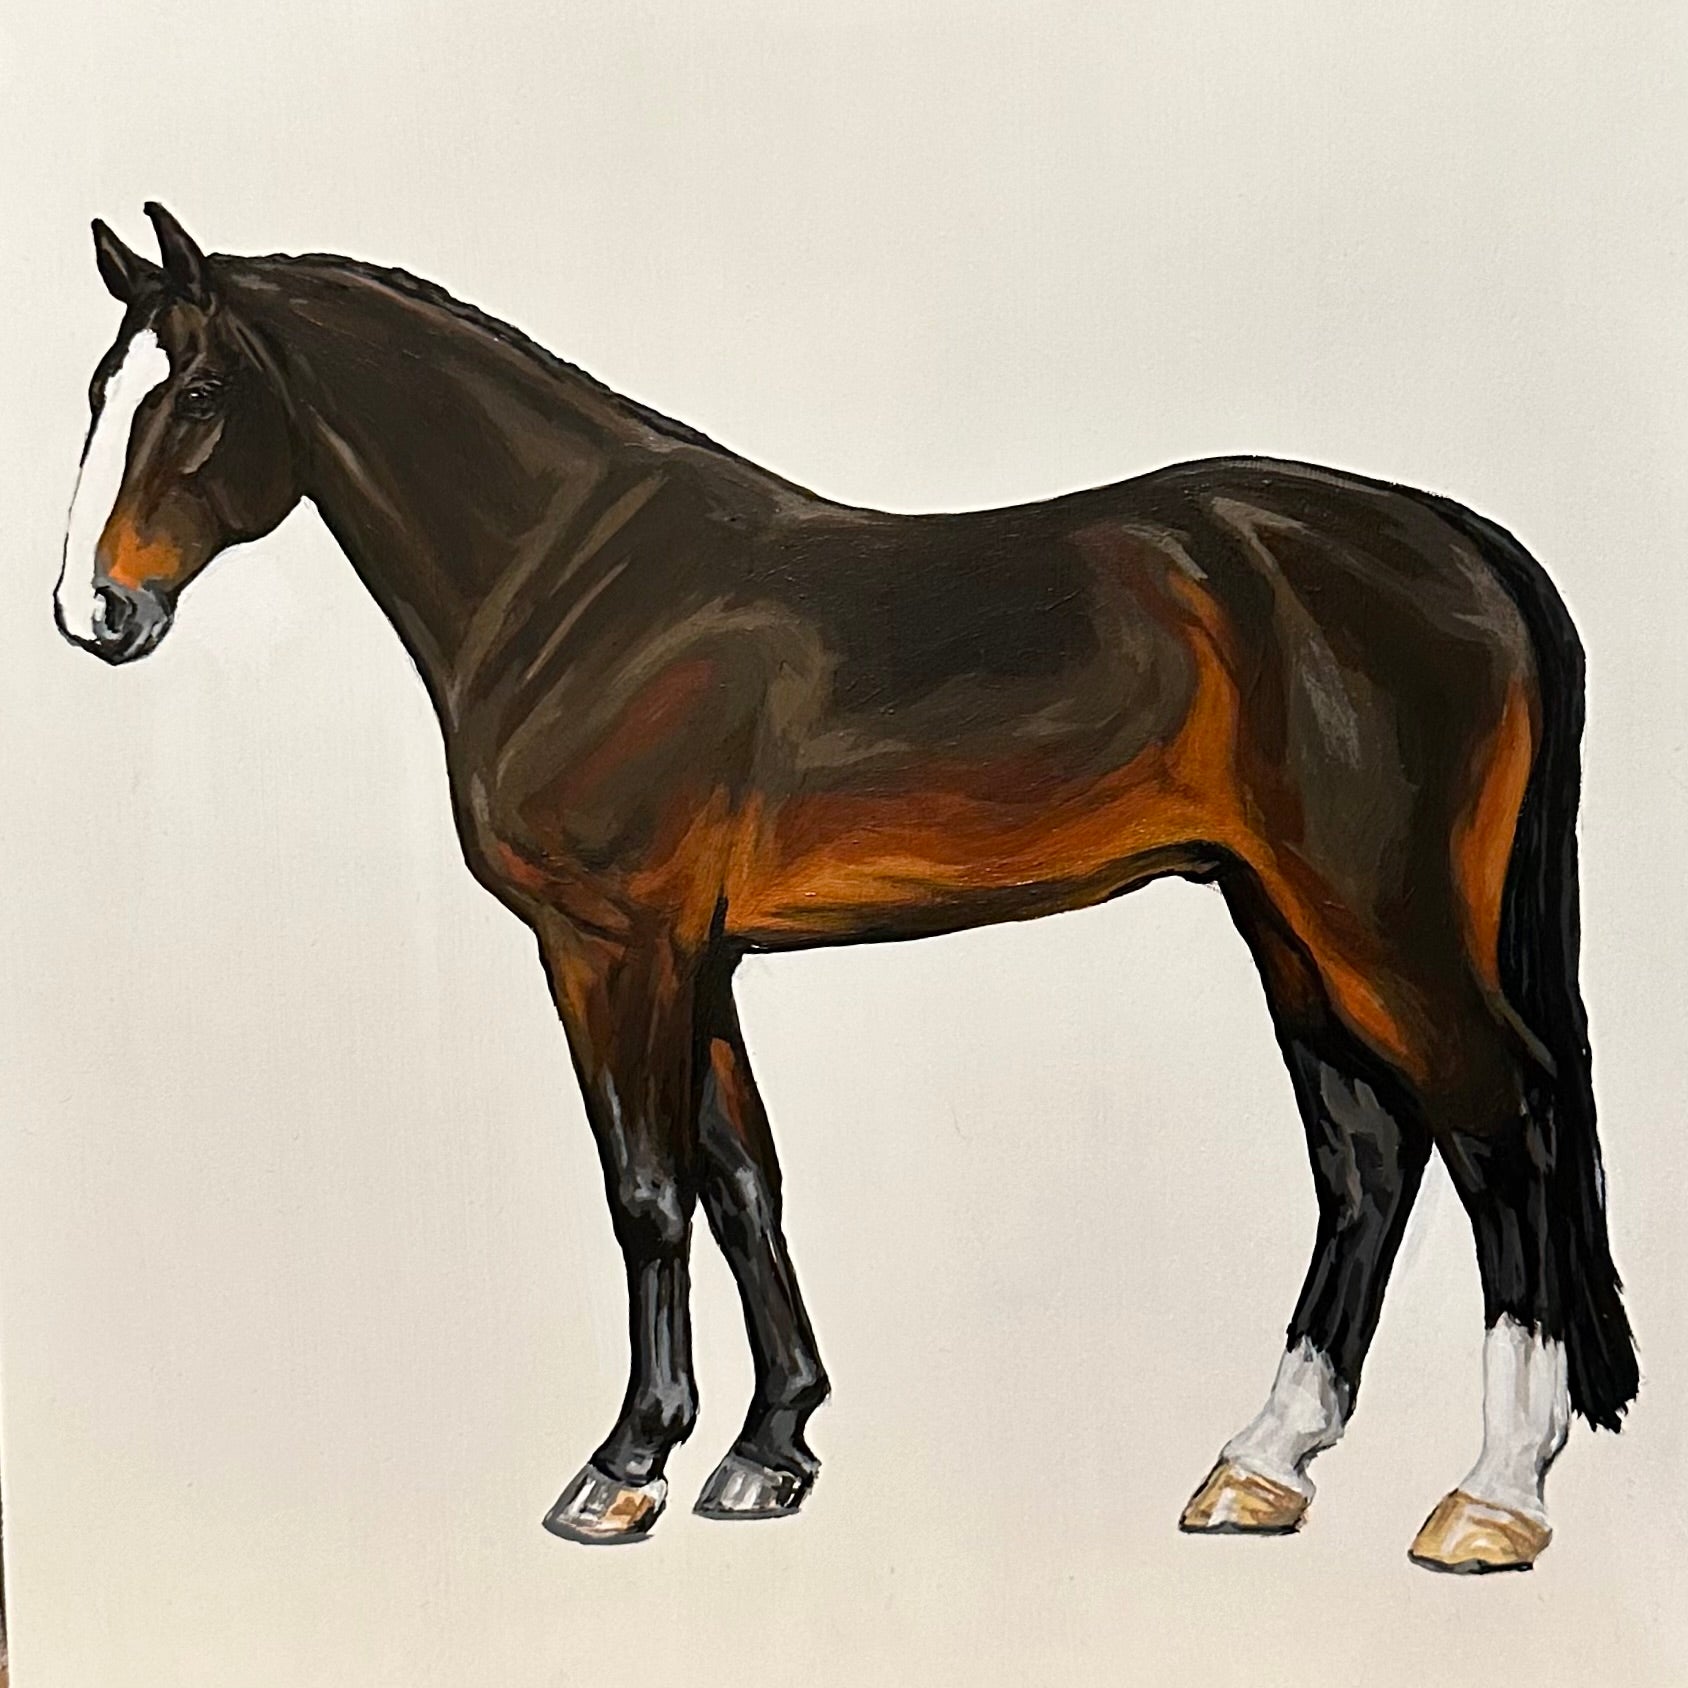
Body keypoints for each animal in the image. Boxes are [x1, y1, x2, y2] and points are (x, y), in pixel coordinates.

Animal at [54, 204, 1636, 1576]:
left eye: (198, 392)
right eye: (100, 386)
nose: (93, 612)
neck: (580, 586)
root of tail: (1457, 543)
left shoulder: (612, 945)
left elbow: (646, 1190)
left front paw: (626, 1467)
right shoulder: (700, 956)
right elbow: (741, 1177)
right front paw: (769, 1449)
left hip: (1376, 914)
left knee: (1504, 1121)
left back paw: (1491, 1499)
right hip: (1286, 920)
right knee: (1367, 1156)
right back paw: (1259, 1466)